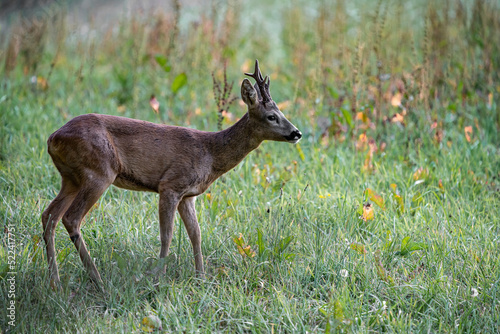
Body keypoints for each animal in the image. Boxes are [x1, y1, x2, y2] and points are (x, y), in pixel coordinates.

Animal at [42, 60, 300, 288]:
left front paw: (201, 278)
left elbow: (196, 234)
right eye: (272, 116)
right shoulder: (170, 185)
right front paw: (159, 277)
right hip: (100, 171)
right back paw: (97, 280)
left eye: (282, 112)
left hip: (71, 178)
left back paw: (55, 282)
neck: (210, 153)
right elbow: (167, 234)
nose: (296, 133)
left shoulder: (188, 195)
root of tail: (52, 138)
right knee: (71, 218)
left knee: (49, 216)